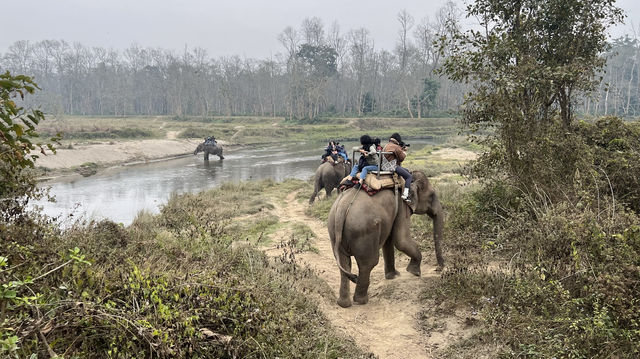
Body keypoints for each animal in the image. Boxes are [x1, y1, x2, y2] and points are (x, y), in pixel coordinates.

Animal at [328, 170, 442, 308]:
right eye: (432, 195)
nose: (439, 269)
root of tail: (342, 207)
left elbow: (389, 240)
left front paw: (394, 276)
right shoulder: (402, 206)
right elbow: (401, 240)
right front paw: (414, 273)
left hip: (334, 232)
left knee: (344, 262)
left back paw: (344, 304)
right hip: (365, 232)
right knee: (368, 263)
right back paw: (362, 300)